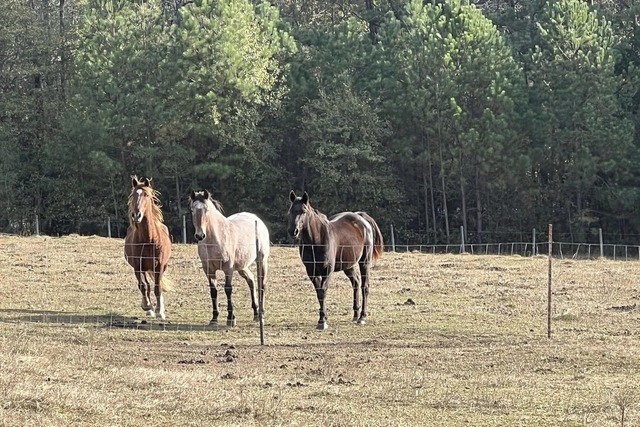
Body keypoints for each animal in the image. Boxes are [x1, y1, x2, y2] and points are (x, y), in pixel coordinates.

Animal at [122, 177, 171, 320]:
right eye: (133, 195)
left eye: (146, 195)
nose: (136, 215)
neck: (149, 240)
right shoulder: (138, 266)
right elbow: (143, 286)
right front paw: (147, 306)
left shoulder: (159, 266)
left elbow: (157, 287)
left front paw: (160, 311)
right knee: (146, 285)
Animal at [190, 191, 270, 328]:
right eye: (192, 210)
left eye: (206, 209)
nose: (200, 235)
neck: (215, 239)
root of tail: (257, 219)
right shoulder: (208, 269)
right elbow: (213, 291)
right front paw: (214, 319)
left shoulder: (228, 268)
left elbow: (228, 289)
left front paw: (231, 318)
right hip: (242, 266)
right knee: (251, 281)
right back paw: (255, 313)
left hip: (261, 261)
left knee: (261, 284)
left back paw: (261, 314)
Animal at [288, 191, 382, 332]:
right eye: (290, 210)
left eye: (303, 211)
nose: (293, 231)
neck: (316, 241)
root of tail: (361, 218)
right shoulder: (312, 271)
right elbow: (319, 293)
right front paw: (323, 318)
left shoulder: (328, 270)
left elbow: (323, 291)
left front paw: (322, 321)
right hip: (348, 265)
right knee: (356, 282)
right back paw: (355, 314)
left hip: (364, 262)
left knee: (364, 286)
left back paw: (362, 317)